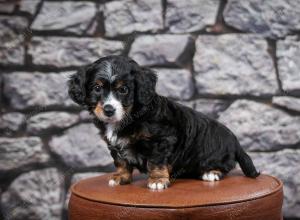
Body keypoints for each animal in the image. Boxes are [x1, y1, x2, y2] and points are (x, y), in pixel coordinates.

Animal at [67, 54, 258, 189]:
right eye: (97, 88)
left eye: (123, 90)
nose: (108, 110)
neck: (130, 116)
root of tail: (235, 141)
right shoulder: (114, 144)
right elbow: (121, 161)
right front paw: (121, 177)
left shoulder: (161, 139)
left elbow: (156, 161)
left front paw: (158, 180)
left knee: (225, 166)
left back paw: (211, 173)